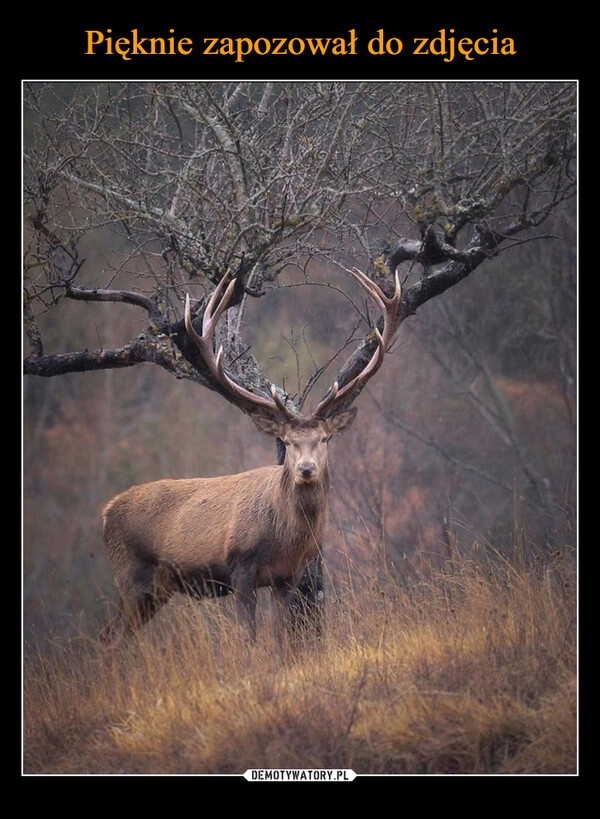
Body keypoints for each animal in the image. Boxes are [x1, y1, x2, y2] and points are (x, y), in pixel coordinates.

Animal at [98, 266, 400, 644]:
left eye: (325, 438)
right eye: (287, 441)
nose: (306, 469)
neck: (284, 539)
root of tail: (105, 514)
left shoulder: (286, 577)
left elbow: (280, 638)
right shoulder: (239, 568)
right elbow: (249, 639)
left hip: (156, 588)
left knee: (110, 635)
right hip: (131, 574)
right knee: (109, 636)